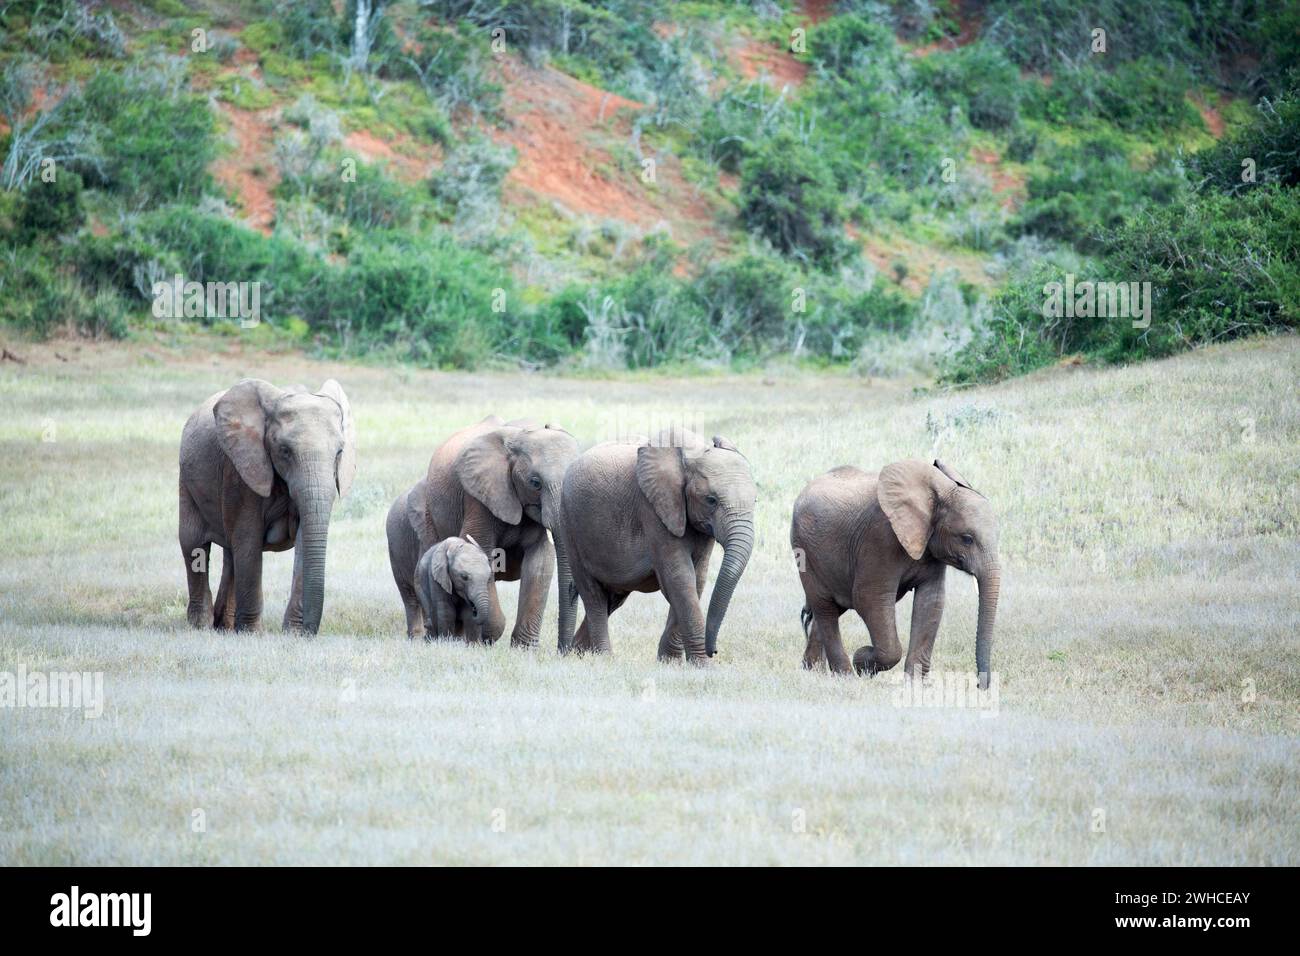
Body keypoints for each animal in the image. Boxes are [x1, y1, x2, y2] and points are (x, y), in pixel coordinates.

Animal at [179, 379, 356, 634]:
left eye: (340, 452)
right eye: (285, 451)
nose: (310, 632)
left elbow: (304, 541)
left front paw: (293, 634)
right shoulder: (242, 471)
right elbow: (248, 540)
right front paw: (251, 634)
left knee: (231, 553)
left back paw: (224, 627)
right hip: (186, 480)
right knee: (193, 544)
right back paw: (201, 626)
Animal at [418, 416, 577, 650]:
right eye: (535, 483)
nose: (564, 651)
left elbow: (540, 562)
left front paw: (524, 649)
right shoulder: (477, 497)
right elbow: (482, 551)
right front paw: (487, 638)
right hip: (431, 510)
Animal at [561, 429, 759, 660]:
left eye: (755, 501)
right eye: (711, 500)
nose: (715, 651)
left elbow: (696, 579)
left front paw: (669, 662)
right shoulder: (653, 509)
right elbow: (680, 578)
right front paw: (702, 665)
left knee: (612, 597)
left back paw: (577, 654)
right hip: (569, 526)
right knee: (593, 596)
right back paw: (604, 658)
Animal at [785, 457, 998, 686]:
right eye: (967, 539)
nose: (979, 685)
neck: (937, 493)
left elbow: (931, 601)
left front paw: (915, 685)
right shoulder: (880, 537)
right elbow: (869, 598)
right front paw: (862, 663)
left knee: (831, 607)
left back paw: (812, 671)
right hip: (805, 551)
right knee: (825, 607)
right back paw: (845, 676)